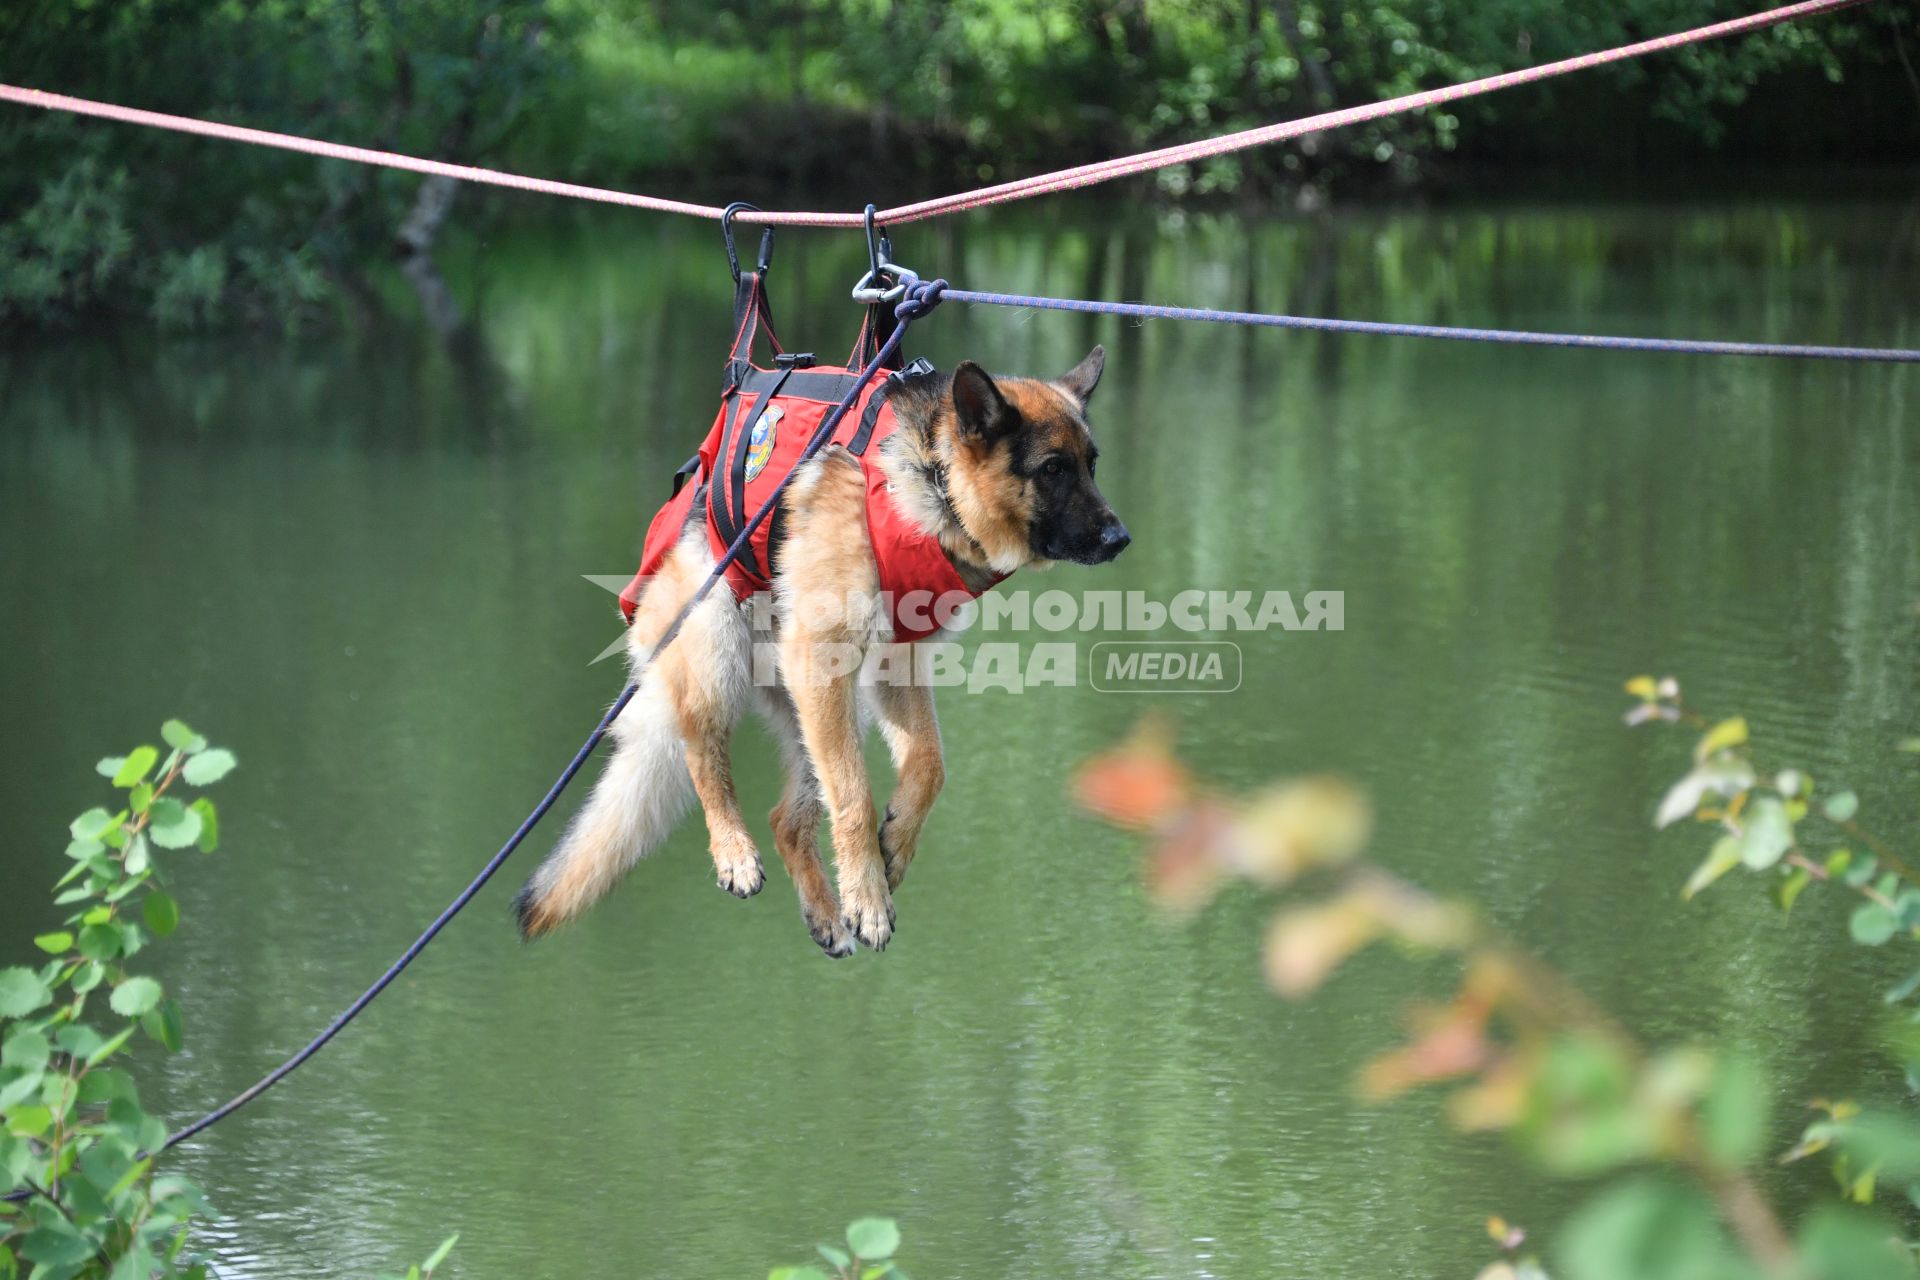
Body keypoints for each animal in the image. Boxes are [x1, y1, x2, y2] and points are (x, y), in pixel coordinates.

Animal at [518, 345, 1128, 955]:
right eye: (1053, 469)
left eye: (1092, 465)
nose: (1120, 540)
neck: (931, 475)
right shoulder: (824, 661)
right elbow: (856, 799)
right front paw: (869, 900)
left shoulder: (896, 664)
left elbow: (930, 765)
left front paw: (896, 845)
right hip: (723, 659)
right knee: (704, 754)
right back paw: (735, 853)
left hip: (829, 711)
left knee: (788, 819)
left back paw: (825, 915)